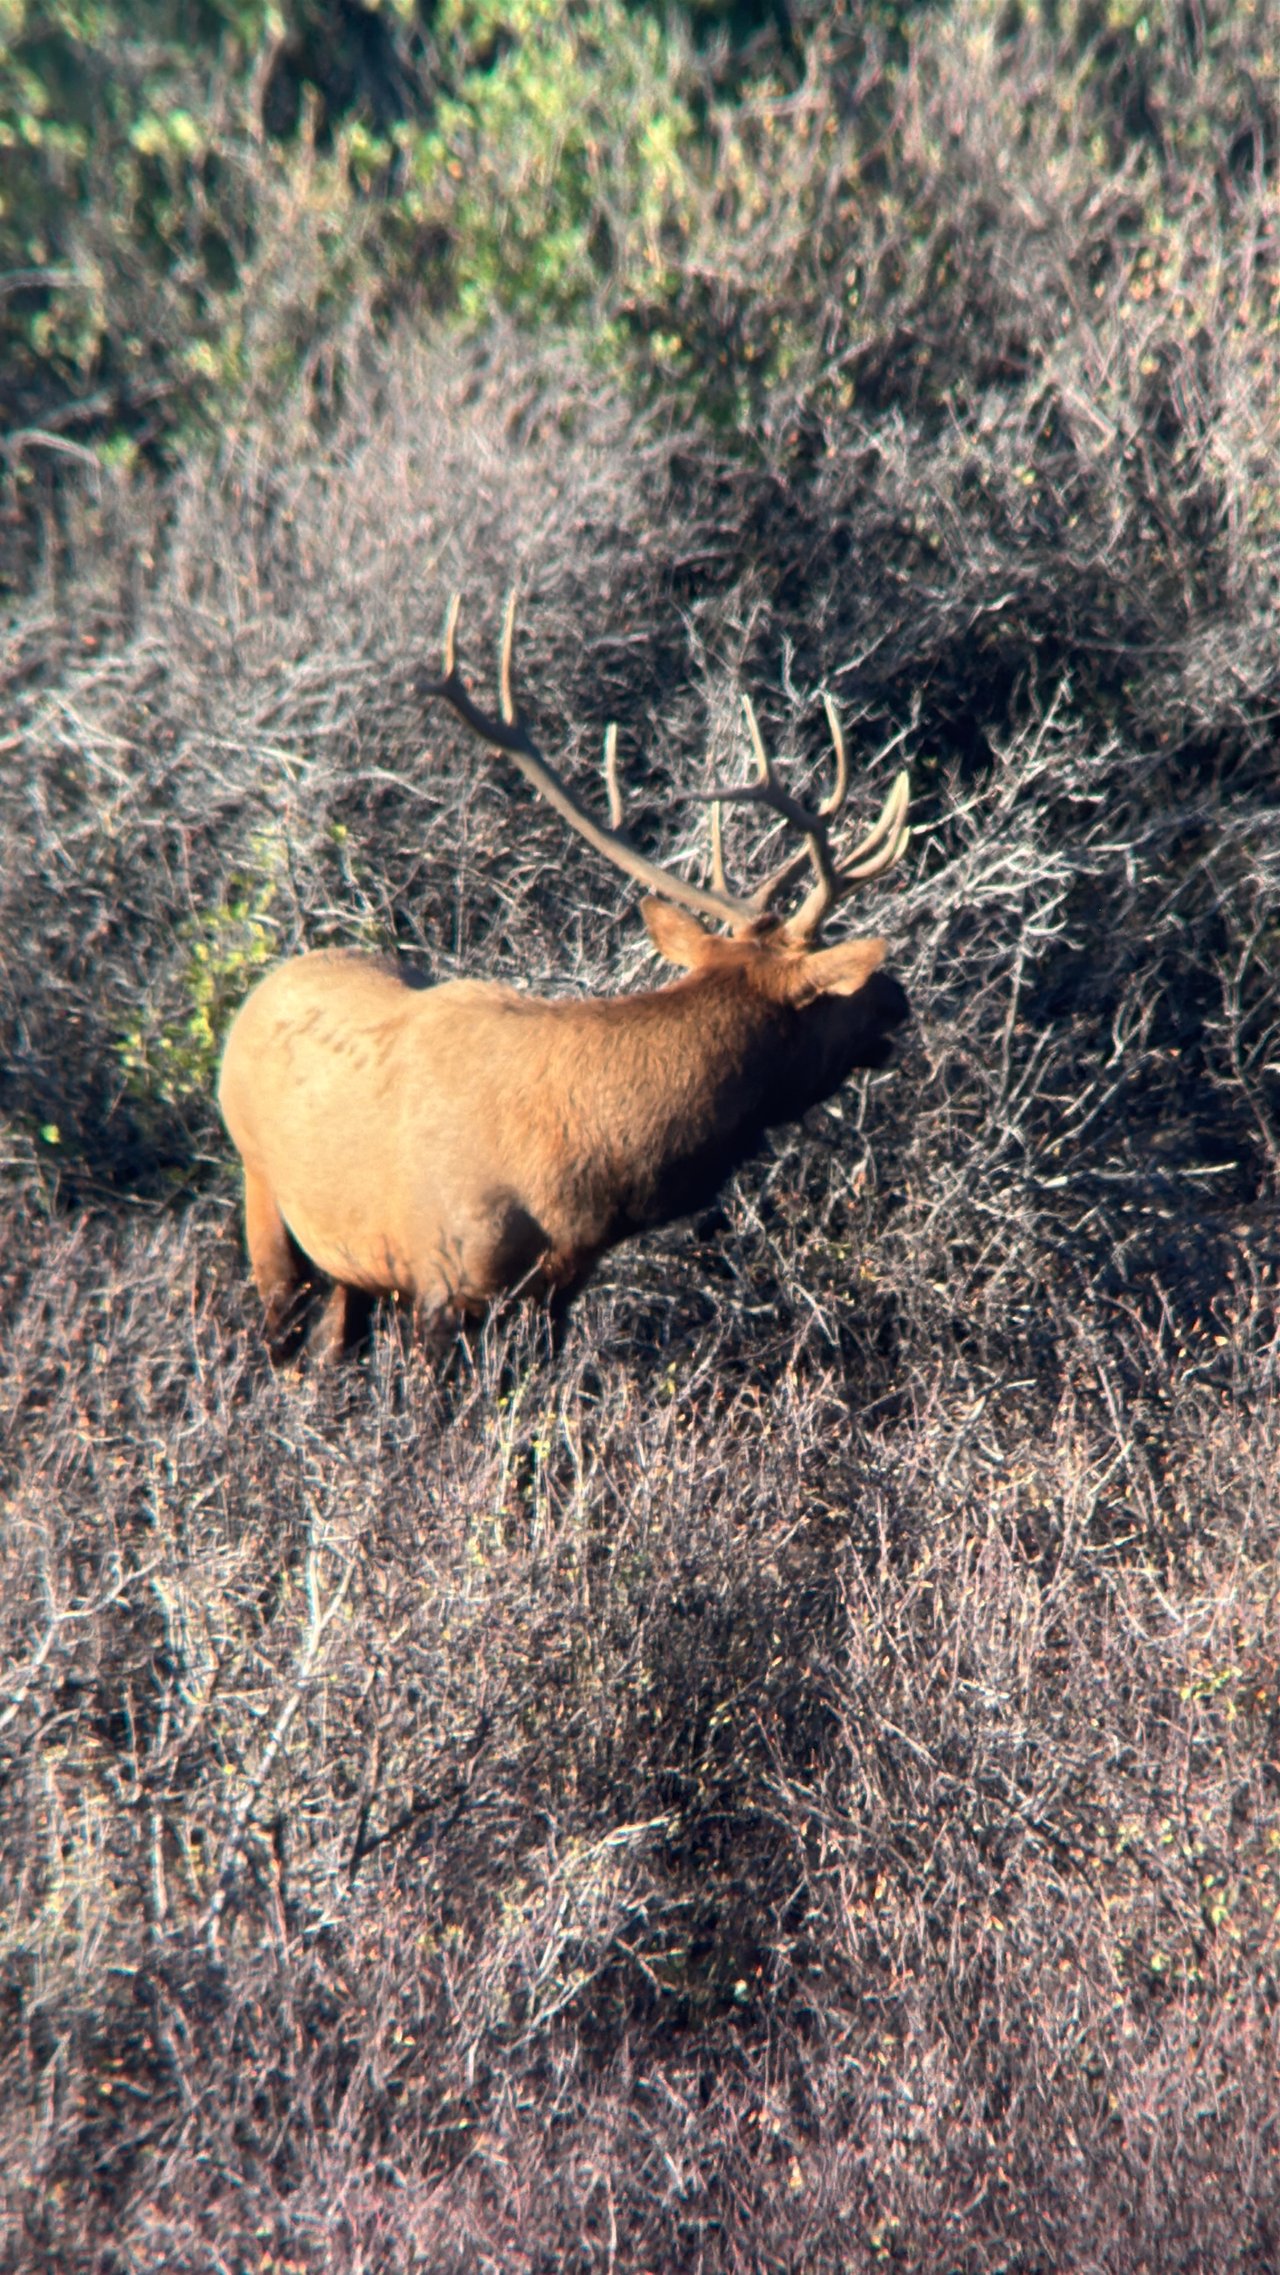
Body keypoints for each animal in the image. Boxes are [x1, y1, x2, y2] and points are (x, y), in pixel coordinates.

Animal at [218, 595, 911, 1361]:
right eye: (833, 994)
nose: (898, 997)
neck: (586, 1182)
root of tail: (256, 995)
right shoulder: (442, 1281)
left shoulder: (555, 1289)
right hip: (263, 1193)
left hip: (350, 1265)